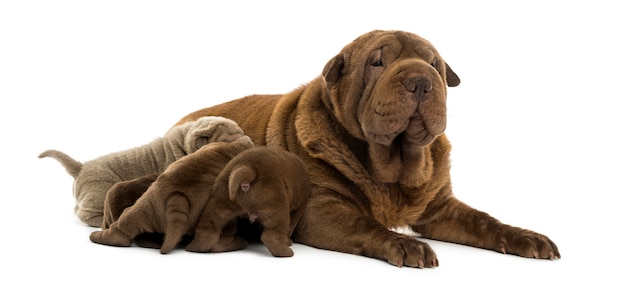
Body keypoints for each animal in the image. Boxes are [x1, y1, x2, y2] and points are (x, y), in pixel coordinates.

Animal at [39, 115, 243, 226]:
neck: (184, 142)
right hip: (99, 190)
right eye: (230, 138)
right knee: (85, 214)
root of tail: (81, 167)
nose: (246, 138)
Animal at [173, 30, 560, 268]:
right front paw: (406, 245)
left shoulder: (440, 208)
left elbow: (484, 221)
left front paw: (526, 236)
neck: (394, 167)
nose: (421, 80)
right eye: (377, 63)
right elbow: (366, 225)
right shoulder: (322, 209)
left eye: (434, 64)